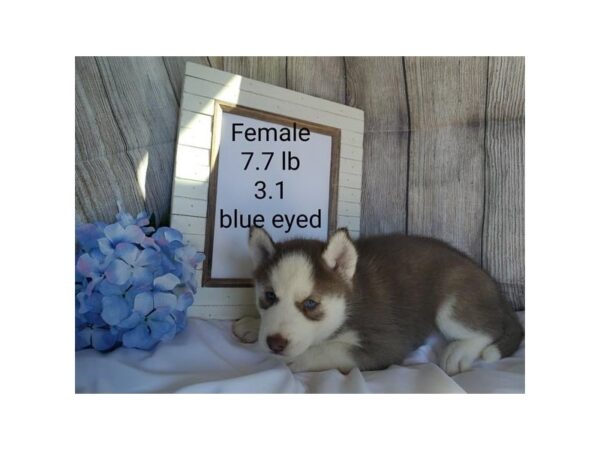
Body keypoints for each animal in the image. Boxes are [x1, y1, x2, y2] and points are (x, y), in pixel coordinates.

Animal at [232, 227, 524, 374]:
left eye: (311, 304)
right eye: (269, 296)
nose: (275, 343)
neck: (348, 303)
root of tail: (489, 279)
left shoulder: (388, 343)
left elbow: (331, 349)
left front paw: (300, 358)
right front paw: (251, 324)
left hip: (450, 301)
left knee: (489, 329)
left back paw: (459, 351)